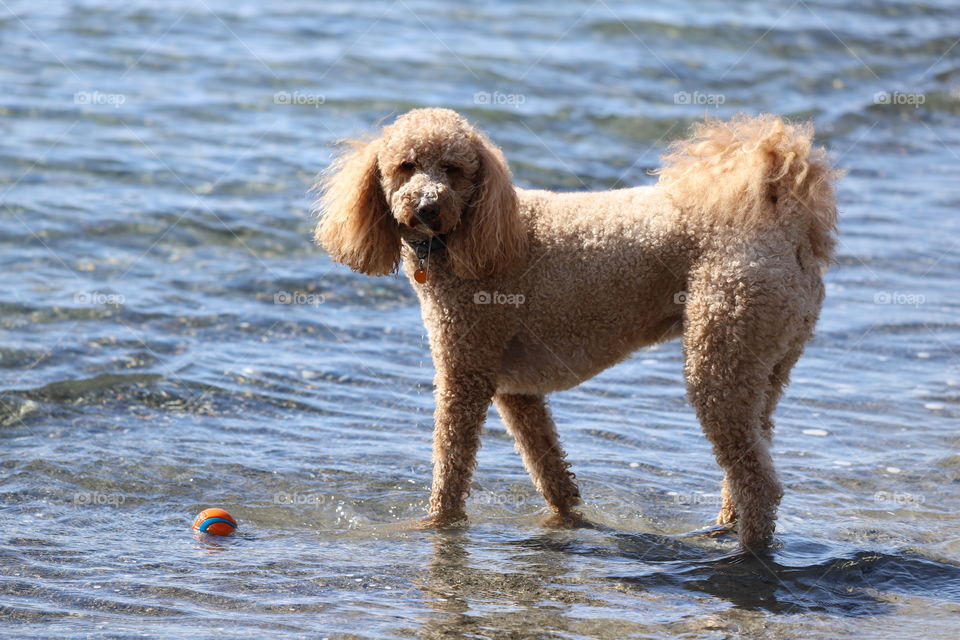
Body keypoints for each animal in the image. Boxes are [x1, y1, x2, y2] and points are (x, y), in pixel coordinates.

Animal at [316, 107, 840, 548]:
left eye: (453, 169)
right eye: (406, 166)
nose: (427, 208)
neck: (470, 234)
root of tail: (786, 225)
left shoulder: (465, 372)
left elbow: (451, 466)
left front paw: (437, 526)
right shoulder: (516, 390)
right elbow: (550, 468)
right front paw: (568, 520)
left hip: (720, 354)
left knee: (759, 482)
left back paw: (747, 553)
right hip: (765, 363)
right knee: (753, 450)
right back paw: (723, 530)